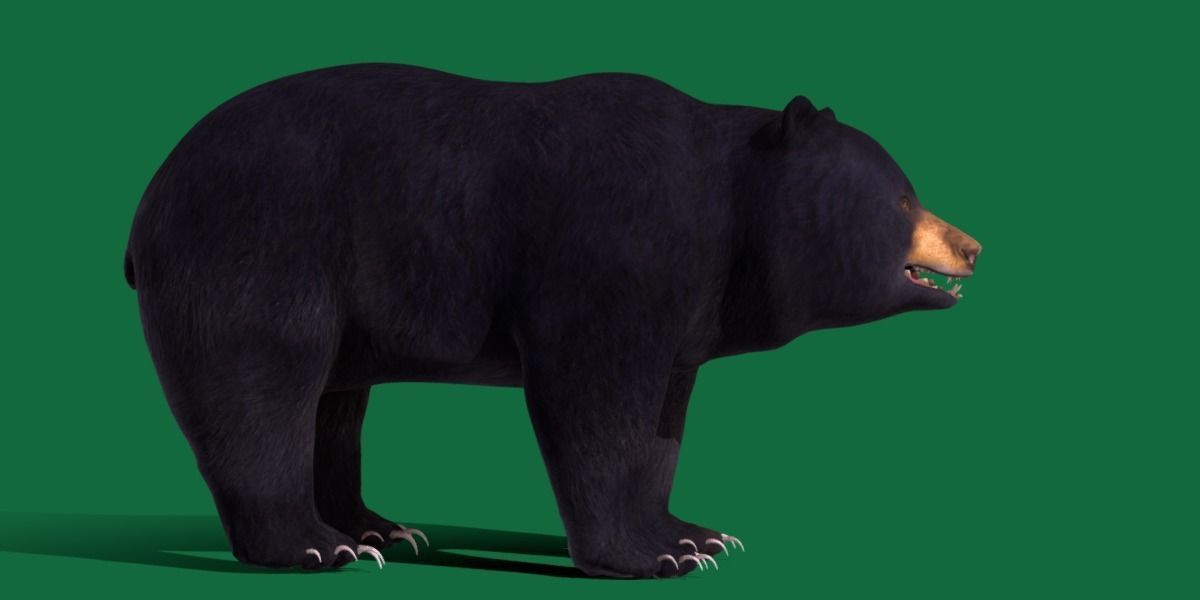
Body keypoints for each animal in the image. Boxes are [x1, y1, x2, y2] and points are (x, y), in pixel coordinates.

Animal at [124, 63, 981, 577]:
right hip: (259, 249)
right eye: (902, 197)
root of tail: (147, 203)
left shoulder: (686, 308)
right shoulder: (609, 251)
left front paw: (693, 535)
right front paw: (644, 557)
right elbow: (593, 397)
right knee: (263, 390)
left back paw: (377, 530)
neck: (724, 215)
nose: (971, 247)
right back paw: (313, 544)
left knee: (334, 405)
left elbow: (662, 418)